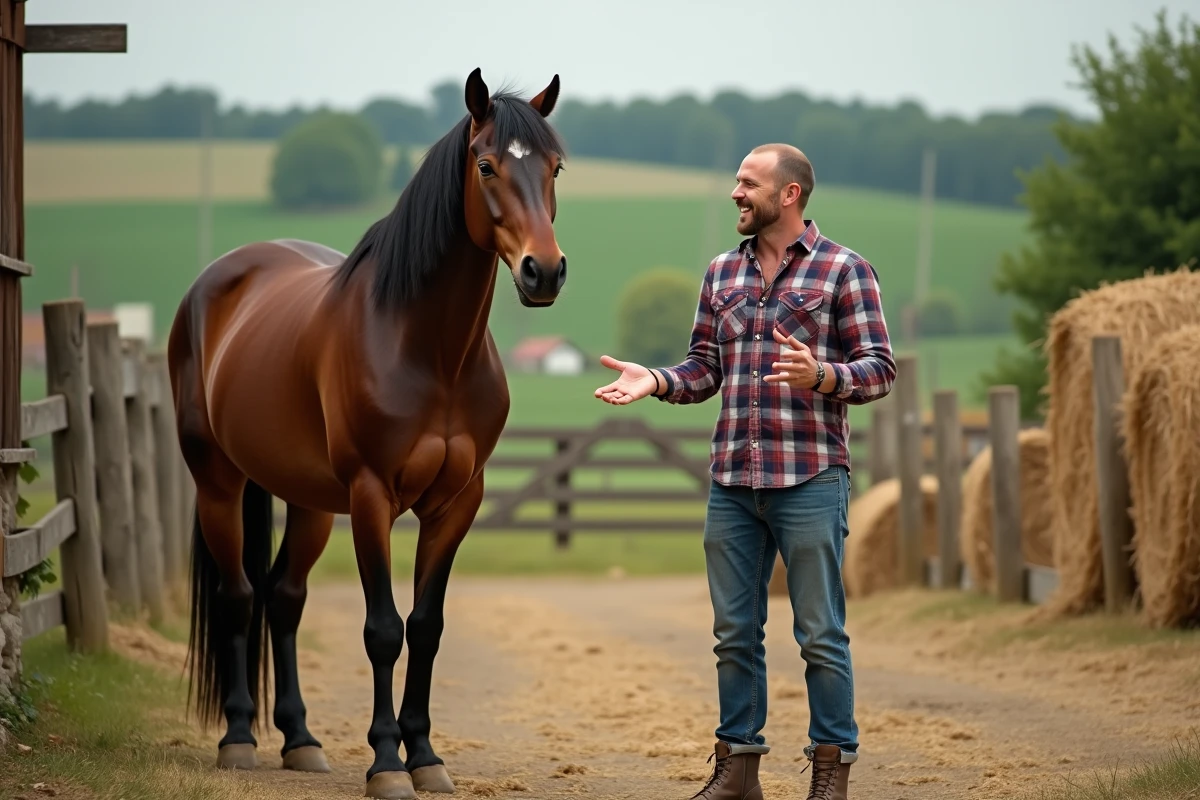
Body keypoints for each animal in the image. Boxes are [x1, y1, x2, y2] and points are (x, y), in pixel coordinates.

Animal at [167, 68, 567, 800]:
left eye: (554, 167)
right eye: (487, 165)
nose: (543, 271)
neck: (430, 349)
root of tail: (217, 281)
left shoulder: (455, 503)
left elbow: (426, 626)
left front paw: (426, 756)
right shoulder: (372, 496)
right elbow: (383, 629)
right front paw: (386, 762)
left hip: (308, 502)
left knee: (283, 599)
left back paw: (300, 740)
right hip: (218, 483)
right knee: (238, 597)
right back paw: (239, 738)